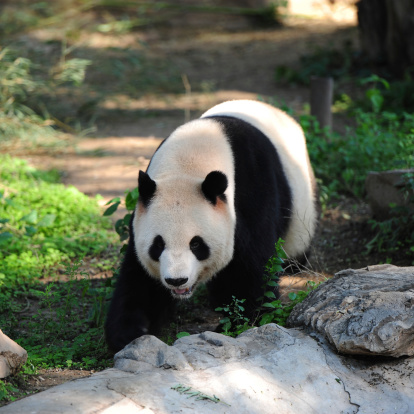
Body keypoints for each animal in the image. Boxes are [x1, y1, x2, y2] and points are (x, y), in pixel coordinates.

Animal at [105, 98, 318, 350]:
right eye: (158, 245)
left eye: (196, 244)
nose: (177, 280)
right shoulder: (143, 213)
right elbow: (139, 279)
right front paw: (132, 333)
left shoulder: (251, 191)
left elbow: (251, 266)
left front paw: (240, 323)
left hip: (301, 199)